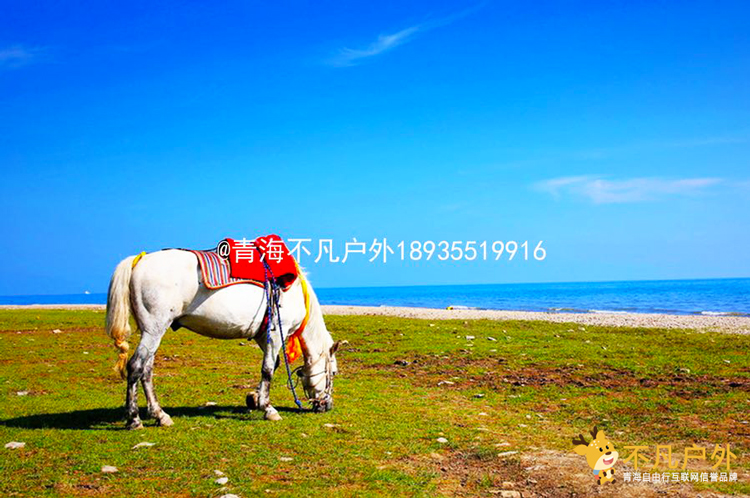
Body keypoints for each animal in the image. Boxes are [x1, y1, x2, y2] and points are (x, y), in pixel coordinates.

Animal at [105, 249, 340, 428]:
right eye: (334, 373)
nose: (327, 406)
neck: (296, 293)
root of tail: (139, 260)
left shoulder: (262, 334)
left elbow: (273, 365)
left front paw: (254, 399)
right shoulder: (275, 332)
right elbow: (268, 369)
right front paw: (268, 408)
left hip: (153, 332)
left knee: (147, 371)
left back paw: (160, 415)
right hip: (154, 329)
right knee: (135, 367)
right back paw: (134, 419)